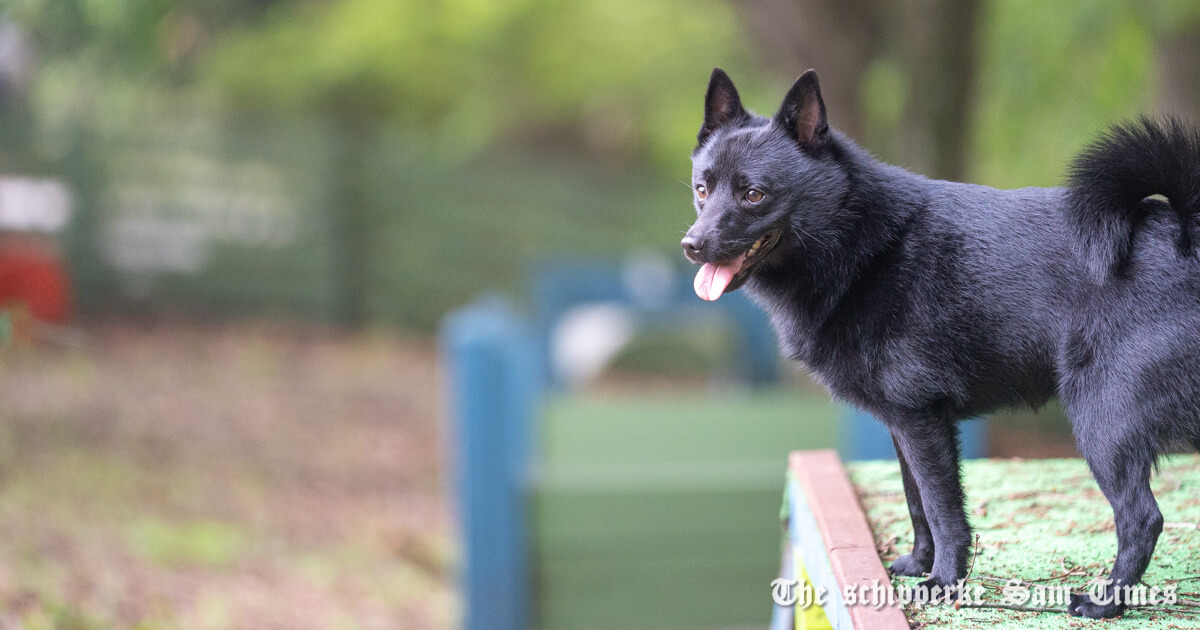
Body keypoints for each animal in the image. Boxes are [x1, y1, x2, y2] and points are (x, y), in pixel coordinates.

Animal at [681, 66, 1200, 614]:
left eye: (754, 194)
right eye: (702, 189)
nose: (691, 245)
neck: (866, 246)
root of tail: (1183, 231)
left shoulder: (920, 419)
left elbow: (941, 507)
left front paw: (944, 581)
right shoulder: (905, 424)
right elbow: (916, 504)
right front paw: (918, 564)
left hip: (1103, 423)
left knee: (1141, 519)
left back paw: (1105, 602)